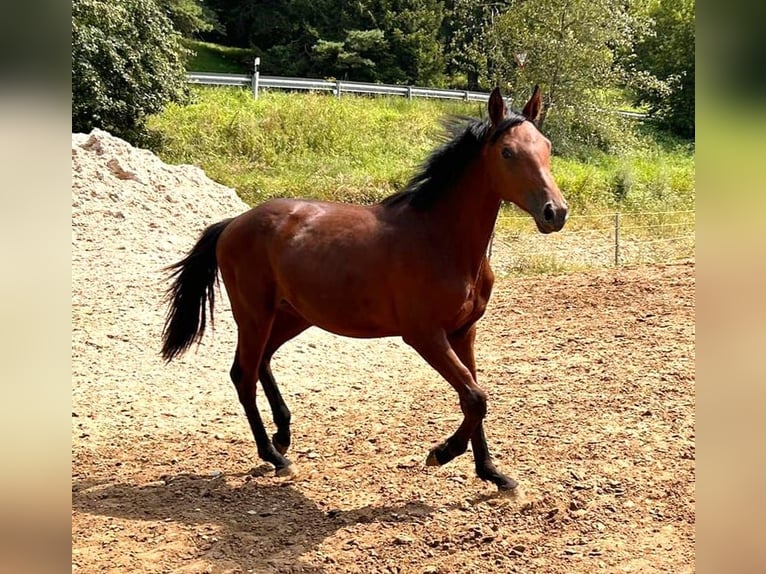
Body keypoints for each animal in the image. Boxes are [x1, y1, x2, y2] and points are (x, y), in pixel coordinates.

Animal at [160, 88, 568, 492]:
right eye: (507, 152)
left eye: (547, 147)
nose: (555, 212)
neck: (440, 239)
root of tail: (233, 223)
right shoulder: (425, 335)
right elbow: (475, 396)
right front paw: (442, 453)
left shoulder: (464, 331)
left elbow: (474, 396)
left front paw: (493, 473)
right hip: (254, 315)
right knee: (243, 375)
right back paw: (276, 457)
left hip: (292, 316)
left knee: (262, 362)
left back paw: (283, 436)